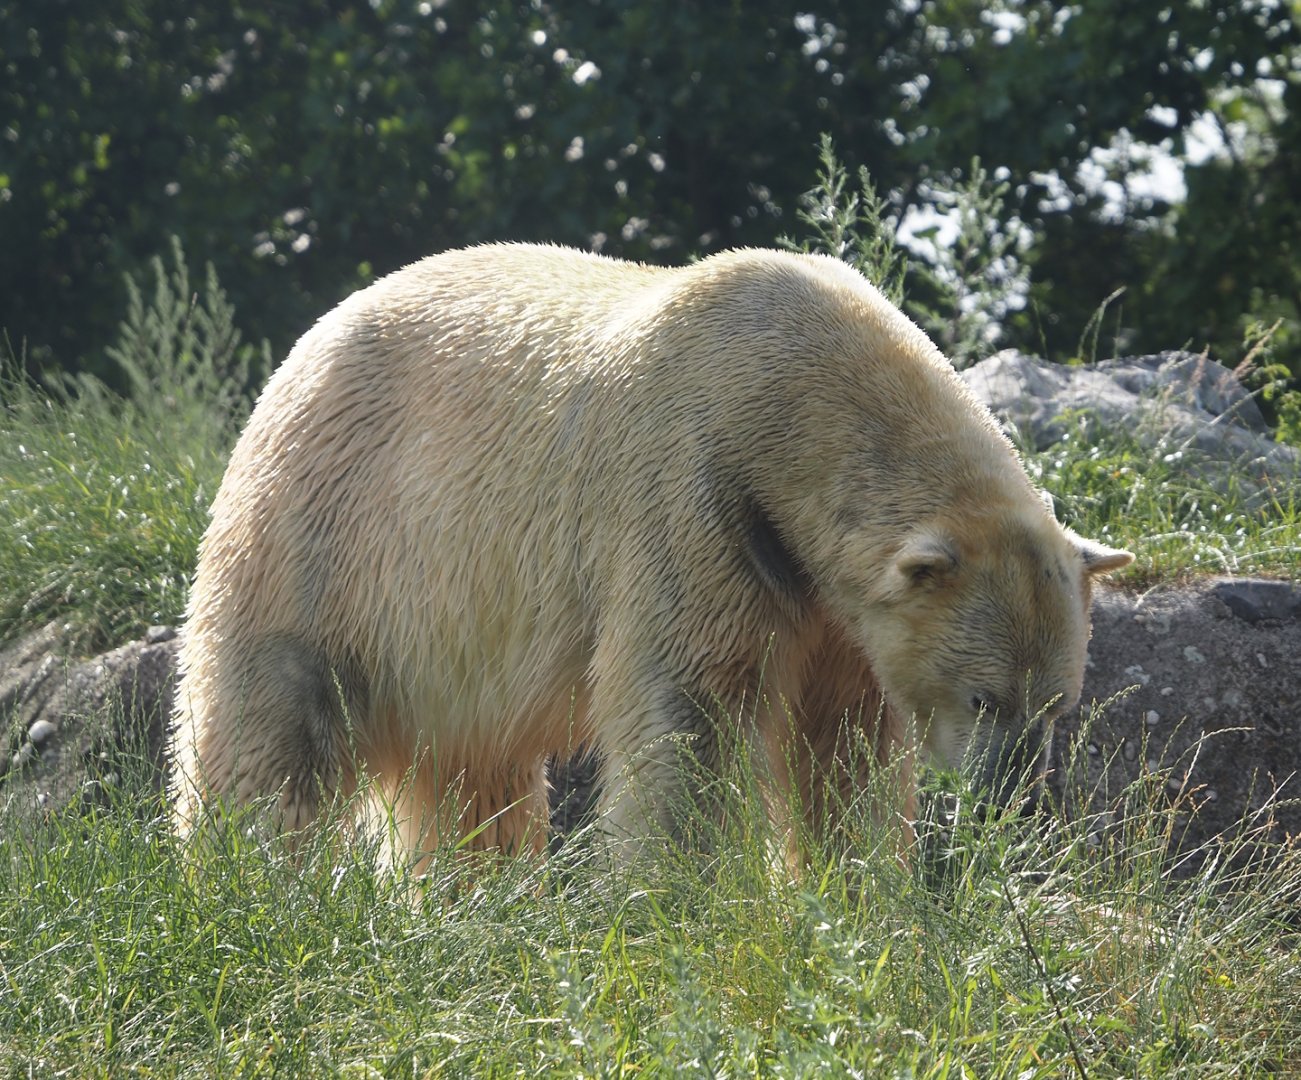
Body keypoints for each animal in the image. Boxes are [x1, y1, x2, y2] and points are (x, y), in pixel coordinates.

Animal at [170, 242, 1132, 864]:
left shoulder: (831, 603)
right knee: (270, 727)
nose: (1008, 799)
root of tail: (305, 344)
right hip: (328, 531)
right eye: (982, 696)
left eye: (1058, 704)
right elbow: (690, 713)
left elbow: (845, 744)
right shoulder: (695, 499)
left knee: (472, 776)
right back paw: (245, 881)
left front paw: (861, 895)